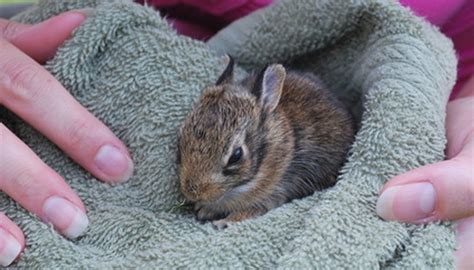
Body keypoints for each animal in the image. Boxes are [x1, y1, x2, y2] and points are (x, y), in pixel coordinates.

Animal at [176, 58, 354, 229]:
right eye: (180, 142)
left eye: (236, 156)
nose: (193, 193)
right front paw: (204, 209)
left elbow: (252, 210)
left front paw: (224, 222)